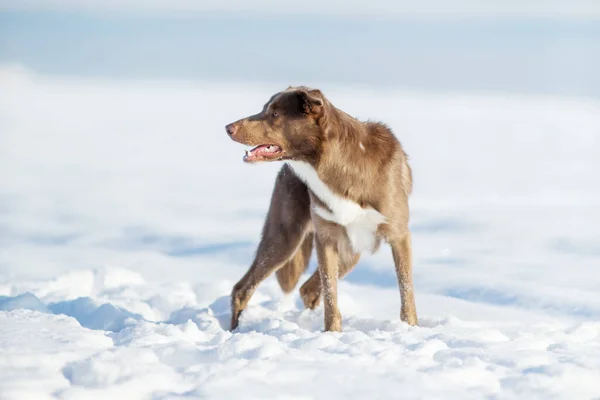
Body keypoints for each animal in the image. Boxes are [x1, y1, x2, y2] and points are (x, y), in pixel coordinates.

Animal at [225, 85, 418, 332]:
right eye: (264, 109)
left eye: (274, 114)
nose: (228, 128)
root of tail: (287, 169)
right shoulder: (326, 238)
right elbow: (330, 294)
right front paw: (332, 333)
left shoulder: (398, 235)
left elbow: (406, 290)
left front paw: (411, 328)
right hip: (284, 237)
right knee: (242, 289)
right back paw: (233, 331)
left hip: (349, 253)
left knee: (306, 289)